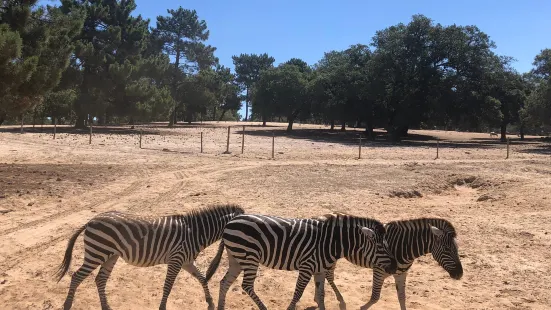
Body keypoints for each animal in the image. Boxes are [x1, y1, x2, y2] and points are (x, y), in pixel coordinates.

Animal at [55, 203, 245, 310]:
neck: (195, 232)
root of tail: (91, 220)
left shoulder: (186, 261)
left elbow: (202, 278)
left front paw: (210, 303)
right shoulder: (176, 260)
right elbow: (168, 286)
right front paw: (162, 307)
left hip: (110, 255)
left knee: (100, 279)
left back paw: (106, 307)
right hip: (96, 252)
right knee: (76, 276)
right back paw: (67, 305)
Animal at [207, 212, 396, 308]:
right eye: (381, 247)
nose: (394, 268)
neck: (330, 242)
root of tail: (231, 221)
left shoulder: (320, 270)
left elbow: (321, 294)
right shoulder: (307, 266)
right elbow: (298, 293)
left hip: (236, 258)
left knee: (224, 282)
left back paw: (221, 307)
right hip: (249, 257)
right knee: (246, 285)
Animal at [316, 218, 464, 310]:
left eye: (457, 249)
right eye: (447, 249)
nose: (460, 274)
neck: (403, 247)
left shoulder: (401, 274)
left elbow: (402, 298)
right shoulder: (379, 271)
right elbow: (375, 297)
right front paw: (362, 307)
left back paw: (317, 299)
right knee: (328, 275)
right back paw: (339, 299)